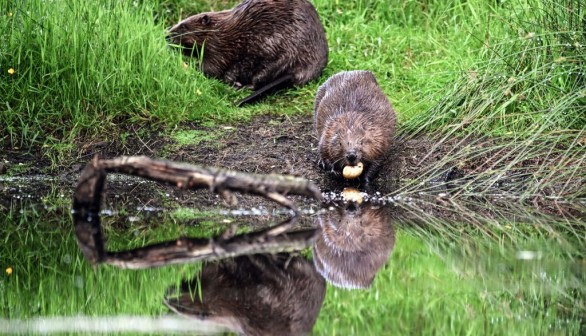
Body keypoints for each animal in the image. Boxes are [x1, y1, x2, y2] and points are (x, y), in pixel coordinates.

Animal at [167, 0, 326, 105]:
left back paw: (240, 87)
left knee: (259, 79)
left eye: (184, 26)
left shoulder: (218, 48)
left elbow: (212, 68)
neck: (219, 30)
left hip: (275, 53)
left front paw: (189, 66)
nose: (167, 36)